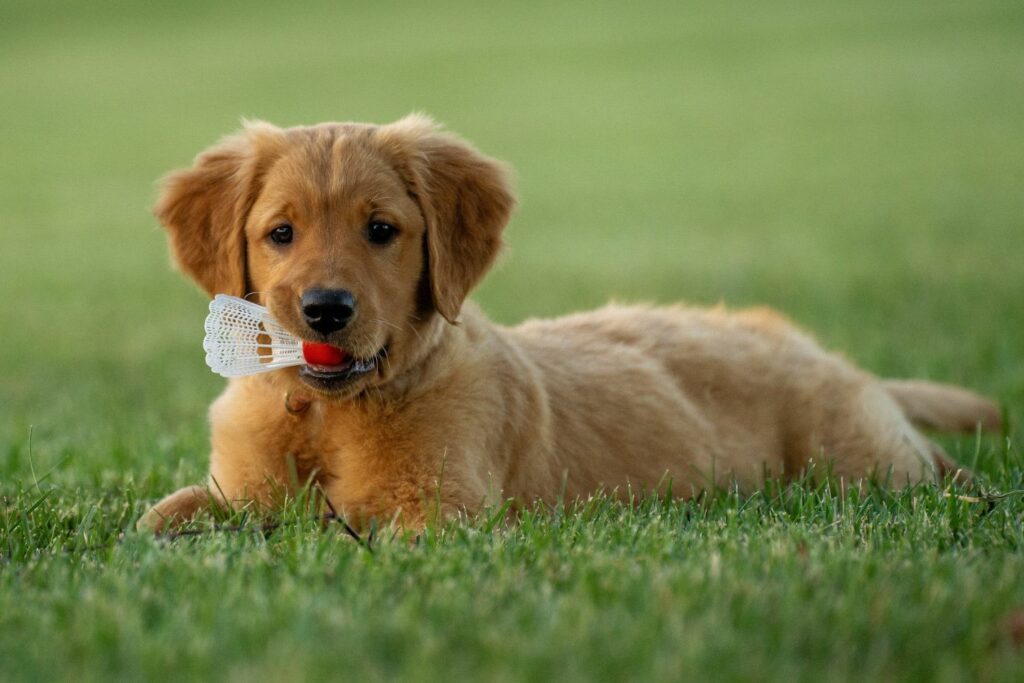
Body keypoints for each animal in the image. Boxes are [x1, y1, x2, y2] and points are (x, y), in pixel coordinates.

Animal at [136, 113, 999, 532]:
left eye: (381, 230)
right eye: (280, 233)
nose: (325, 308)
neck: (324, 411)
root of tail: (834, 357)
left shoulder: (440, 516)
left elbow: (344, 536)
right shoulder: (240, 487)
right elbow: (165, 515)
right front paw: (166, 528)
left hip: (857, 461)